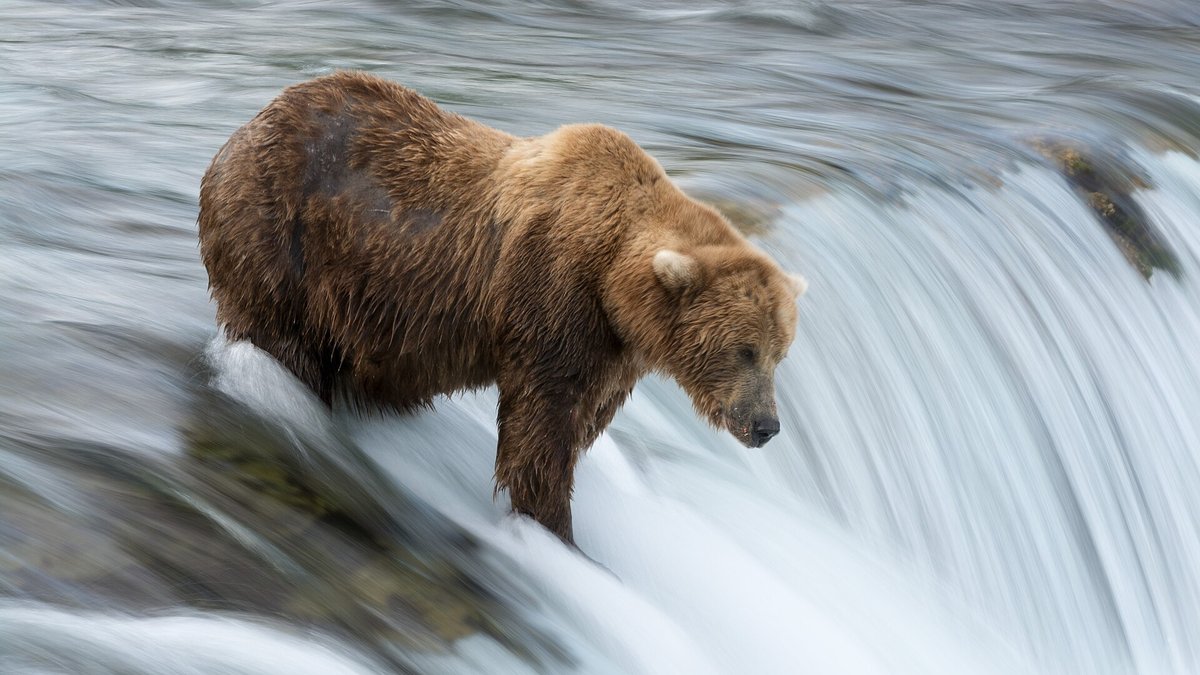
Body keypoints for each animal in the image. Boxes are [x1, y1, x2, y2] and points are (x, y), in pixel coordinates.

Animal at [198, 71, 806, 544]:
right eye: (745, 349)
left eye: (779, 353)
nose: (767, 425)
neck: (614, 279)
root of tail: (242, 128)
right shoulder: (556, 296)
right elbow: (541, 426)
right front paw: (554, 527)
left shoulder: (613, 349)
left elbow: (582, 421)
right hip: (280, 233)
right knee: (282, 339)